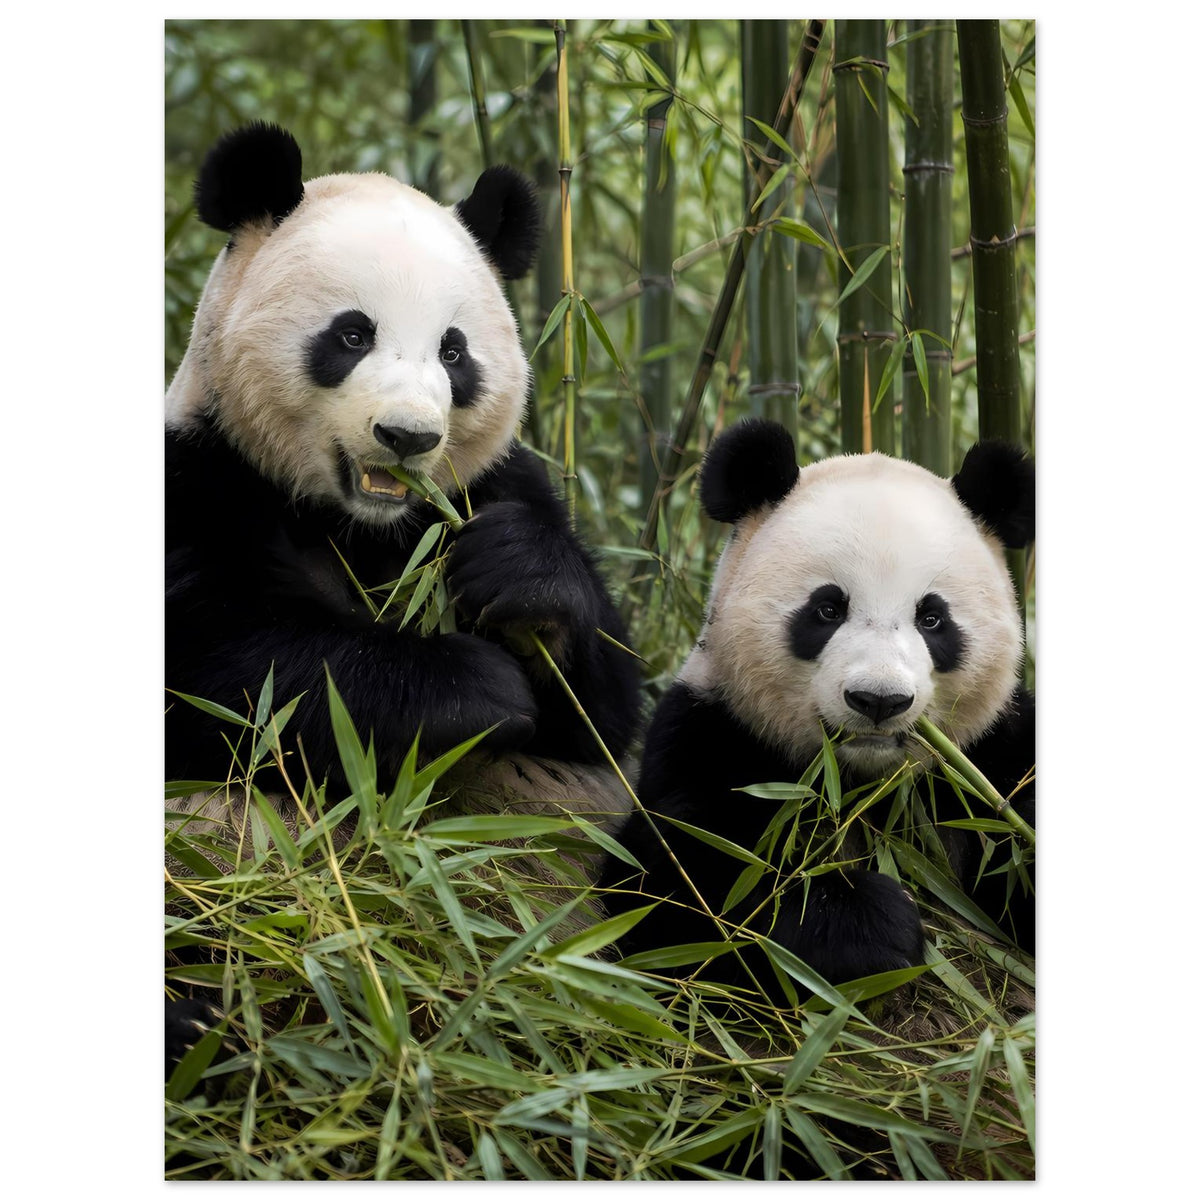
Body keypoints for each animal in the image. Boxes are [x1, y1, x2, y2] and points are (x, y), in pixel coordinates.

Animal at [166, 124, 641, 1069]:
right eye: (352, 334)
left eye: (454, 352)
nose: (408, 437)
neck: (361, 525)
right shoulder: (197, 478)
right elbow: (234, 678)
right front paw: (474, 689)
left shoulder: (494, 485)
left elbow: (604, 715)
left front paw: (521, 581)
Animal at [600, 417, 1034, 997]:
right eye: (828, 609)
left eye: (932, 619)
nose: (879, 701)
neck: (860, 784)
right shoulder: (713, 733)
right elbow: (684, 890)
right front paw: (868, 925)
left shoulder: (990, 757)